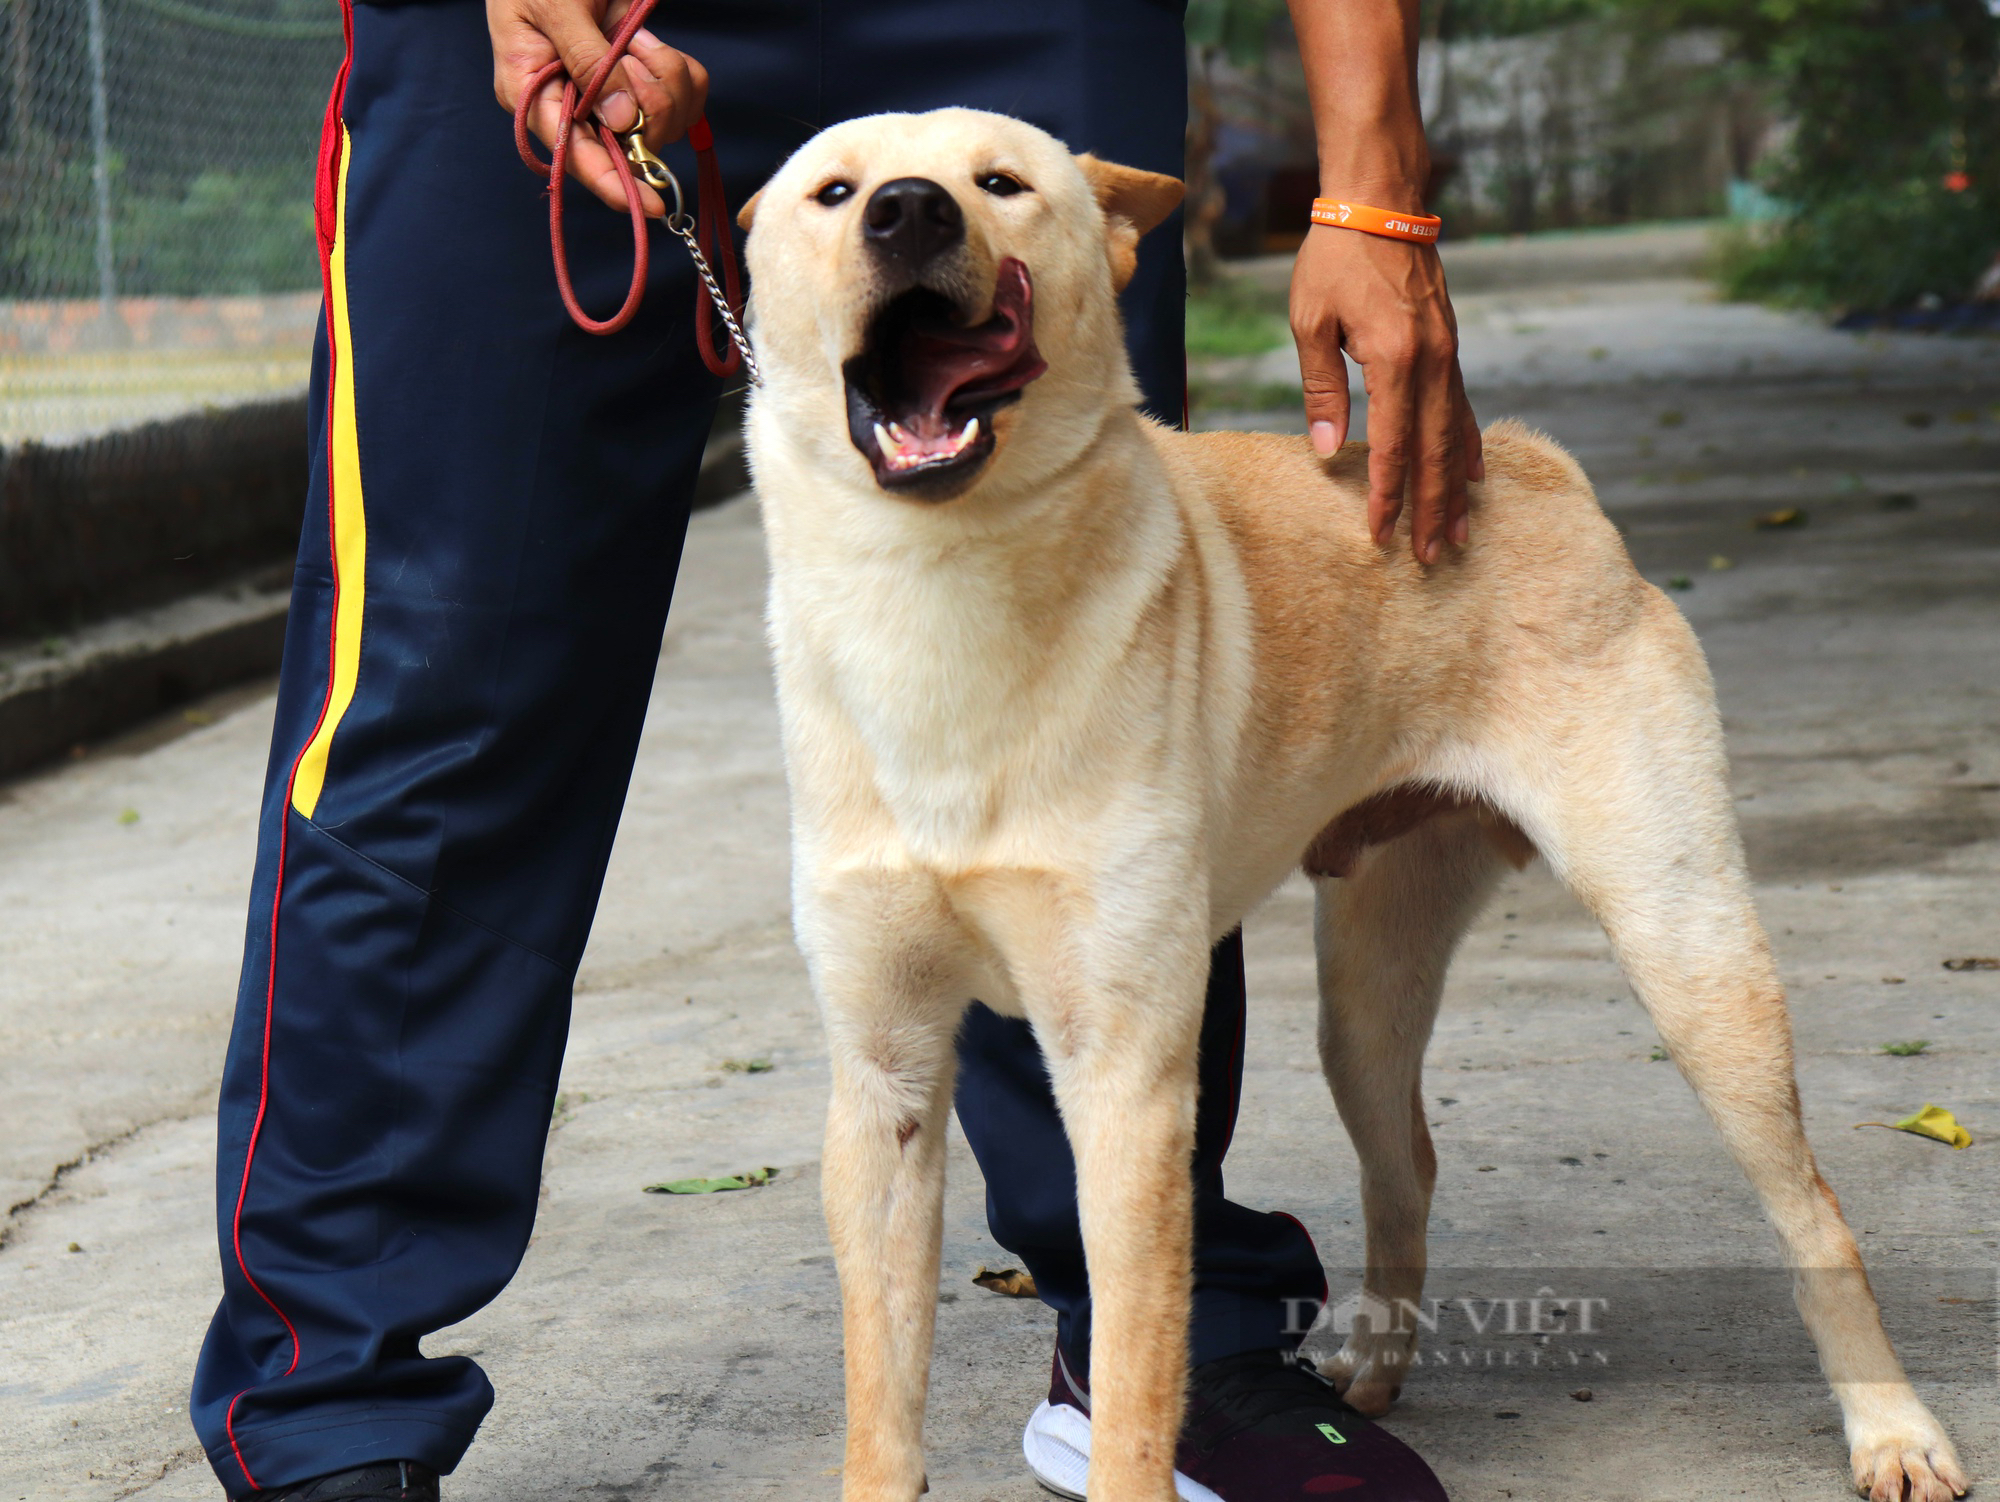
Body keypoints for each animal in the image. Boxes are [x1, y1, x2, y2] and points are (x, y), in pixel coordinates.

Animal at [736, 108, 1968, 1502]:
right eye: (833, 194)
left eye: (999, 183)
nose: (908, 210)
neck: (935, 595)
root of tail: (1529, 464)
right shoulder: (882, 1079)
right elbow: (880, 1407)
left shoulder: (1126, 1079)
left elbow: (1135, 1390)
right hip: (1363, 992)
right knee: (1406, 1162)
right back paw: (1373, 1370)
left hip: (1686, 944)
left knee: (1811, 1204)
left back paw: (1892, 1431)